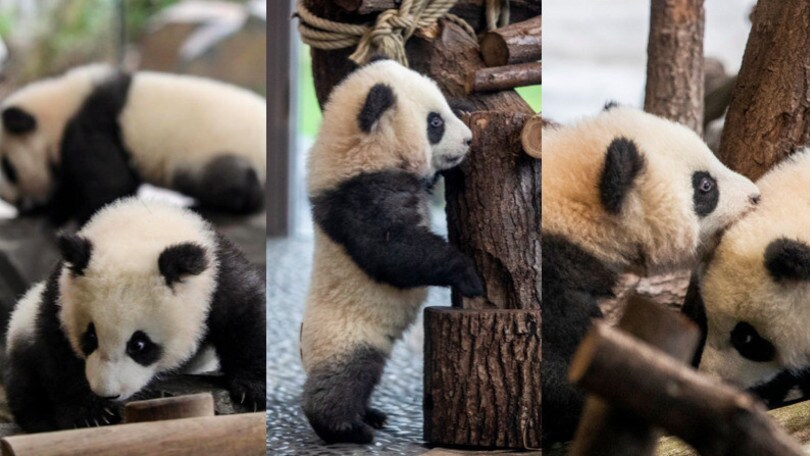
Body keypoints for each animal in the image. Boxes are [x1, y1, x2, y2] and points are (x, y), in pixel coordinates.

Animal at [0, 64, 266, 223]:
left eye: (9, 170)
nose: (25, 206)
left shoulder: (93, 122)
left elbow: (112, 183)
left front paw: (71, 216)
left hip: (211, 154)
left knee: (233, 182)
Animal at [4, 197, 265, 432]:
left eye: (139, 344)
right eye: (90, 338)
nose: (108, 393)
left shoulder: (218, 275)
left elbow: (246, 315)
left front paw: (253, 390)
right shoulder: (59, 294)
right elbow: (57, 351)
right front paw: (88, 414)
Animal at [299, 59, 483, 444]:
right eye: (434, 123)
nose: (468, 140)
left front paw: (467, 105)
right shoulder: (357, 198)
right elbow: (392, 252)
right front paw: (469, 275)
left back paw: (371, 415)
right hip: (346, 334)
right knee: (346, 379)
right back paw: (345, 428)